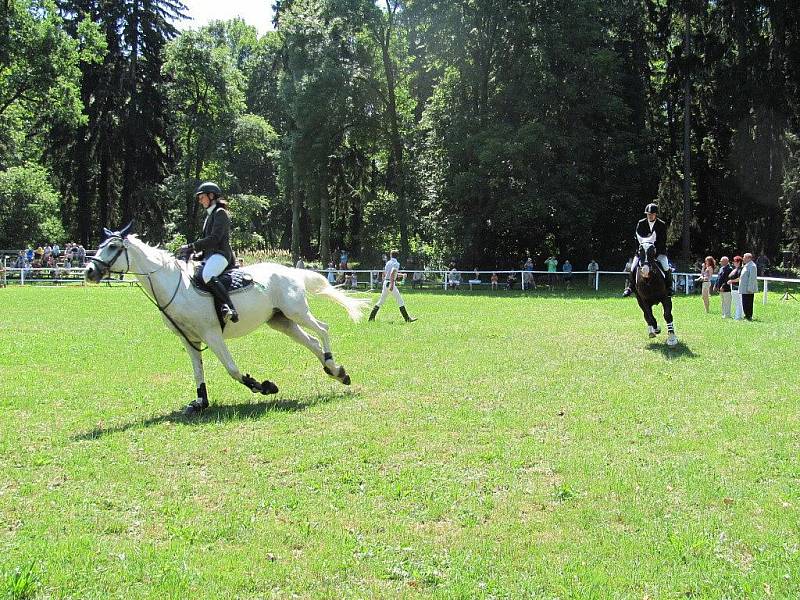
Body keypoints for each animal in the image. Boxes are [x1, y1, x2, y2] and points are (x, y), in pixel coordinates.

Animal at [85, 227, 368, 414]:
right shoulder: (190, 340)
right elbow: (198, 371)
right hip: (281, 321)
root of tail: (291, 271)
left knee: (323, 329)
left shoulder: (212, 335)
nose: (89, 271)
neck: (175, 285)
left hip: (296, 312)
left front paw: (263, 386)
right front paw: (200, 402)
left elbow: (232, 369)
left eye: (113, 247)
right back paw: (337, 372)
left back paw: (332, 364)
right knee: (311, 341)